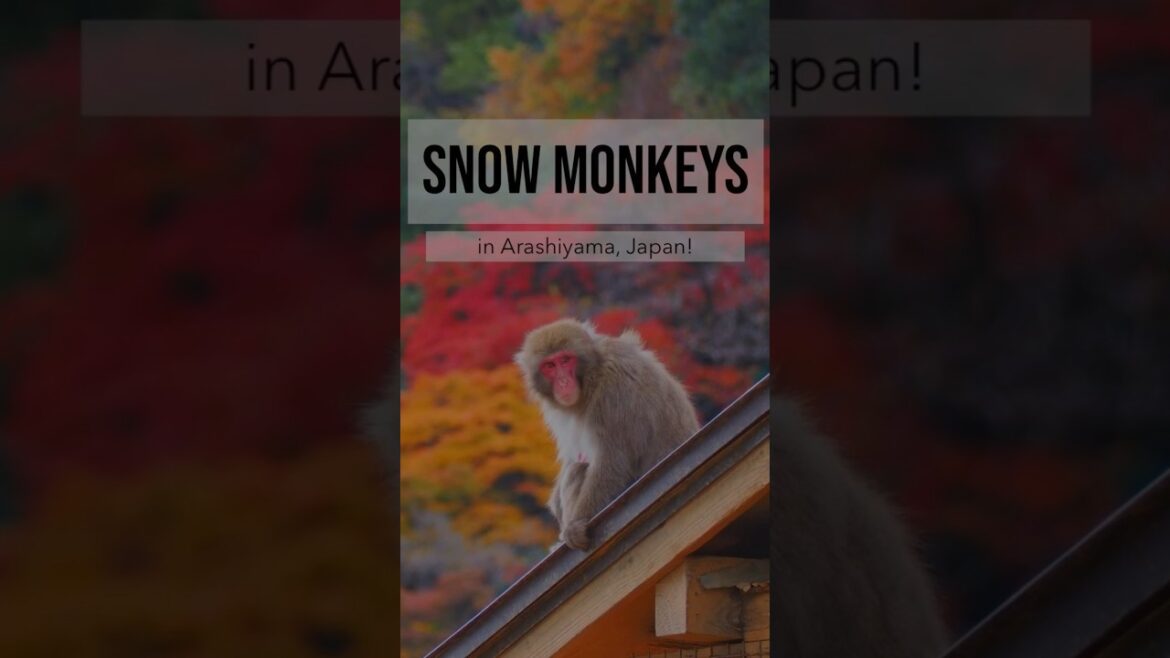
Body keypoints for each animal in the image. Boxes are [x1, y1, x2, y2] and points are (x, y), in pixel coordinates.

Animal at [515, 318, 700, 551]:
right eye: (550, 366)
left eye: (565, 360)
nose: (563, 382)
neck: (593, 373)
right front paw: (556, 503)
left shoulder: (613, 391)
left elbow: (612, 462)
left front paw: (575, 525)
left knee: (580, 469)